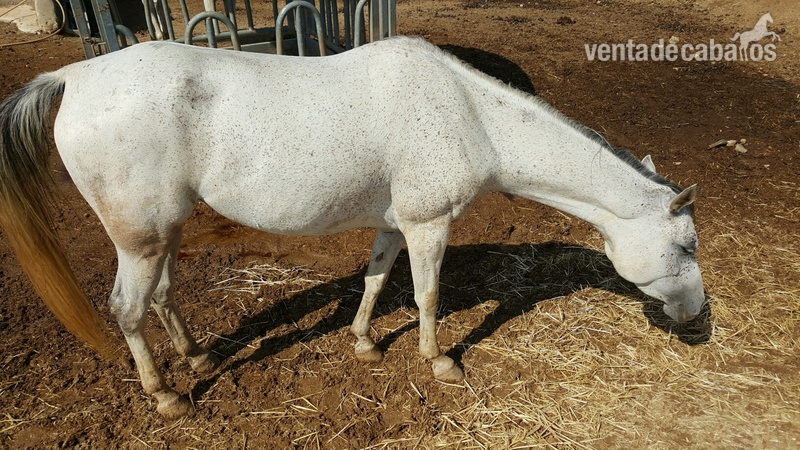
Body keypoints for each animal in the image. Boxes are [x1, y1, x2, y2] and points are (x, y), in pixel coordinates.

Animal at [0, 37, 705, 418]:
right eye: (685, 244)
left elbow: (375, 282)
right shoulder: (428, 226)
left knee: (163, 296)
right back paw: (167, 396)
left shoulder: (396, 225)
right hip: (140, 239)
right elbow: (426, 295)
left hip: (164, 231)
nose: (698, 318)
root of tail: (74, 76)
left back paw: (198, 357)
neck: (469, 114)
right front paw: (439, 362)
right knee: (127, 309)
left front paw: (366, 343)